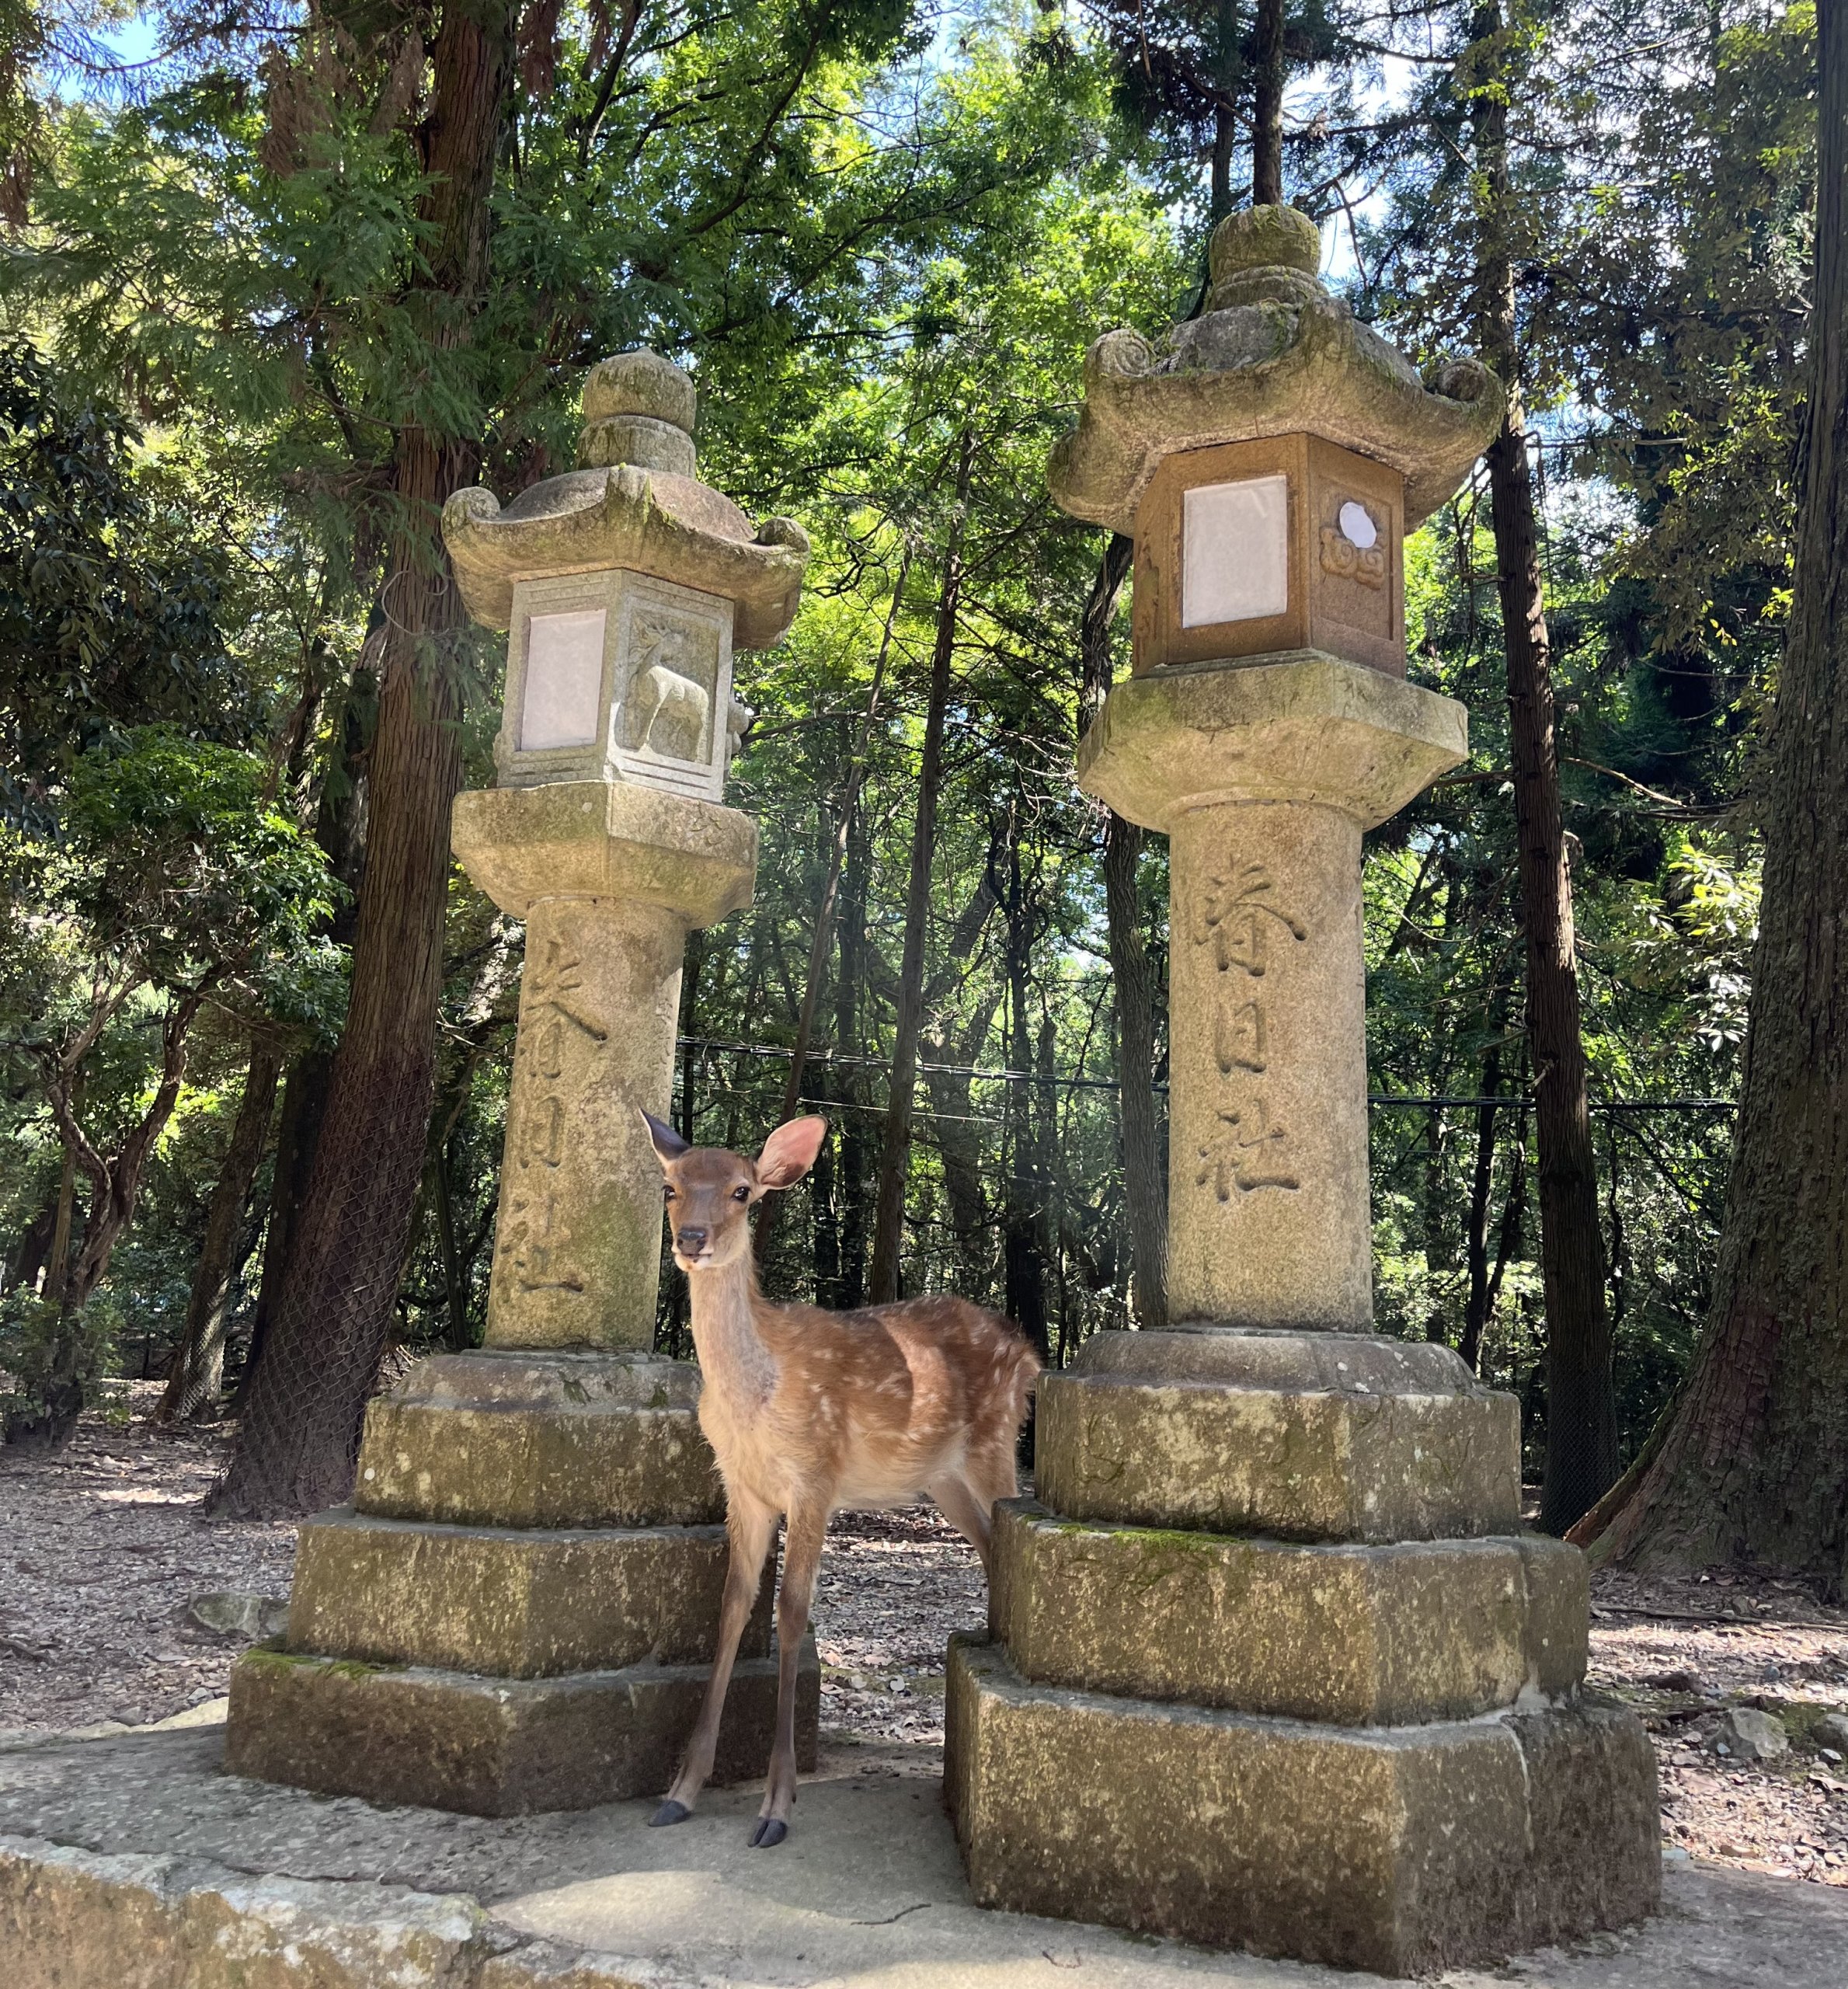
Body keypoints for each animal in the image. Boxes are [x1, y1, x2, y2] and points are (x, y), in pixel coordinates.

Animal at [641, 1110, 1039, 1847]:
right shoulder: (742, 1486)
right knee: (990, 1542)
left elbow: (793, 1612)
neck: (753, 1401)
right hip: (942, 1480)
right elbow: (732, 1606)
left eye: (742, 1191)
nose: (693, 1240)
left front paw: (776, 1806)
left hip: (997, 1442)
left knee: (1007, 1531)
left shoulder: (815, 1475)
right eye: (669, 1188)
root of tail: (1027, 1350)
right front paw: (679, 1792)